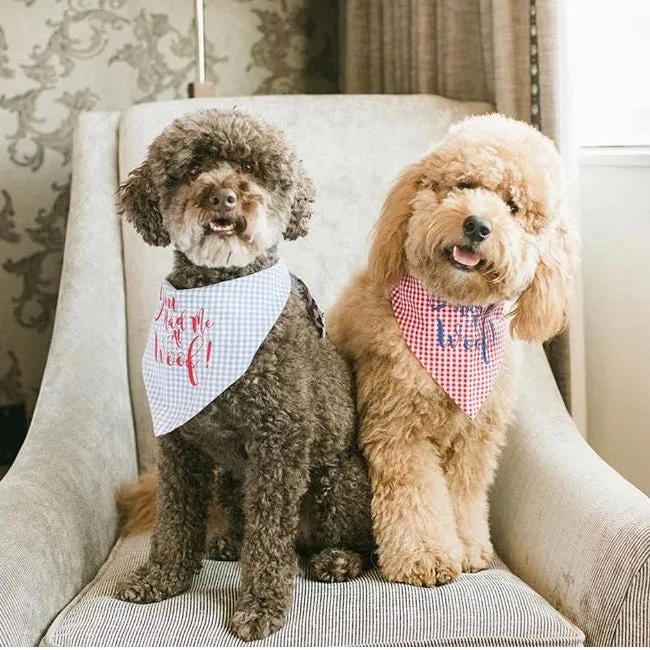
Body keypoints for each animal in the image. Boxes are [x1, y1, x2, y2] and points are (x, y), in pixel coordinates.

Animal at [330, 115, 576, 588]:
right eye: (464, 184)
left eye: (513, 207)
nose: (478, 225)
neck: (455, 315)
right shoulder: (398, 428)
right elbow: (418, 498)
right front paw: (424, 555)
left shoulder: (475, 439)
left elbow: (463, 498)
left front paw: (471, 549)